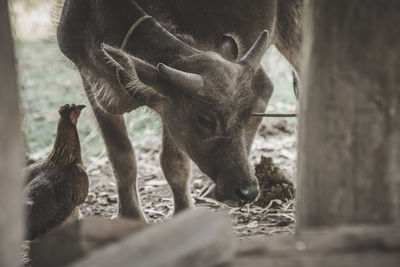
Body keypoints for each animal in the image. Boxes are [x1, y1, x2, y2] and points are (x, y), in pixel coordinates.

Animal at [57, 0, 304, 220]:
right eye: (205, 120)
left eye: (245, 116)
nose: (247, 192)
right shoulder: (92, 85)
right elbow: (121, 156)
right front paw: (131, 216)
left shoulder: (170, 106)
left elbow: (174, 162)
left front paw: (183, 213)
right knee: (264, 85)